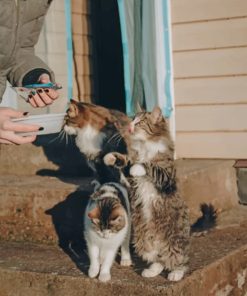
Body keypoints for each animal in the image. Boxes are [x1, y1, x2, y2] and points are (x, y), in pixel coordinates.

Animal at [103, 107, 190, 282]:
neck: (145, 146)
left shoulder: (166, 178)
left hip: (174, 239)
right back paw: (152, 270)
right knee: (158, 259)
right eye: (132, 119)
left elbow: (150, 166)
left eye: (140, 122)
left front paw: (140, 167)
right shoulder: (130, 177)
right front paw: (111, 157)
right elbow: (126, 163)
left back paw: (176, 273)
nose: (130, 127)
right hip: (143, 241)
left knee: (179, 259)